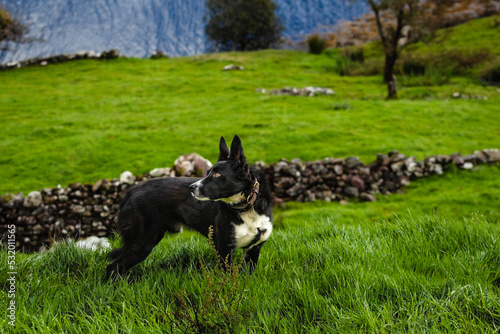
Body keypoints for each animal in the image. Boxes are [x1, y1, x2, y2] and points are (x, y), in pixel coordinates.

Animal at [106, 134, 274, 278]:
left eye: (217, 174)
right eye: (207, 172)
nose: (192, 188)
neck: (247, 207)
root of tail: (132, 191)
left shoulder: (253, 250)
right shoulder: (223, 249)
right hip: (142, 242)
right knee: (113, 266)